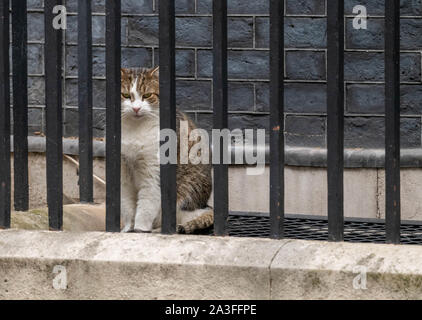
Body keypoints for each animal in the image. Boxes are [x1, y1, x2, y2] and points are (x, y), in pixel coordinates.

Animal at [119, 67, 213, 232]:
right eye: (125, 95)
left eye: (147, 95)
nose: (136, 108)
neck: (136, 128)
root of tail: (205, 204)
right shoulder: (124, 171)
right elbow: (127, 204)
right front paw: (128, 229)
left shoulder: (153, 171)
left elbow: (146, 205)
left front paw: (140, 230)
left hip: (185, 194)